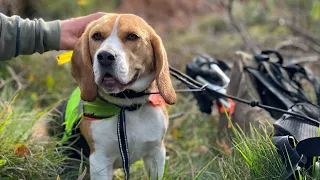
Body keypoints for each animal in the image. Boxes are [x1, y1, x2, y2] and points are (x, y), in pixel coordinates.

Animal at [32, 13, 176, 179]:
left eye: (132, 36)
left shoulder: (156, 154)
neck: (127, 107)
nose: (105, 56)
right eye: (96, 36)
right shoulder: (100, 160)